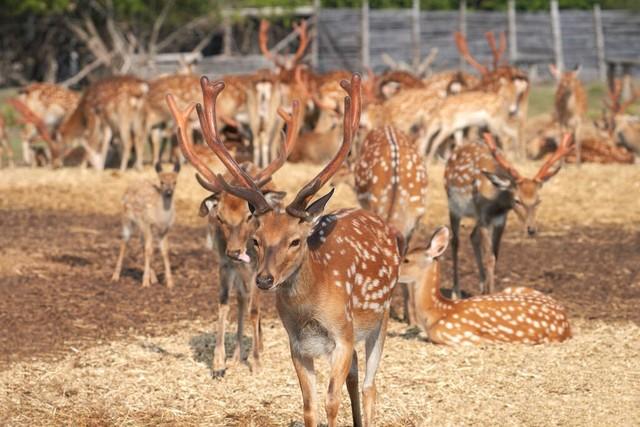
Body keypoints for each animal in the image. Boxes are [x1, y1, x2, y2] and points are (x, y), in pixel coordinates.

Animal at [112, 162, 180, 290]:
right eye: (161, 182)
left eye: (175, 182)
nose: (169, 192)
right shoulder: (147, 223)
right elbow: (150, 250)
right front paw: (145, 282)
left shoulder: (164, 230)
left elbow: (165, 251)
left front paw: (170, 283)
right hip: (127, 219)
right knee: (124, 242)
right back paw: (115, 277)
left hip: (142, 227)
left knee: (143, 244)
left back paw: (154, 279)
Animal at [164, 89, 296, 378]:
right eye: (219, 217)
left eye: (250, 216)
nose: (236, 251)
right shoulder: (224, 263)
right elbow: (224, 304)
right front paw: (219, 362)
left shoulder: (258, 266)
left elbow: (256, 309)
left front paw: (256, 360)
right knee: (241, 299)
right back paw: (237, 355)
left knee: (253, 303)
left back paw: (258, 348)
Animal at [180, 74, 400, 427]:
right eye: (257, 238)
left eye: (295, 240)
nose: (264, 279)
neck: (309, 310)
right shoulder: (297, 345)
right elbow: (309, 406)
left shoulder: (342, 336)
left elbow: (331, 403)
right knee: (356, 377)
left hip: (381, 316)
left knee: (370, 385)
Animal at [444, 132, 576, 300]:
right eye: (517, 200)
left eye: (538, 200)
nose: (531, 229)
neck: (495, 203)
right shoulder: (483, 216)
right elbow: (489, 258)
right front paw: (491, 294)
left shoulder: (500, 220)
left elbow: (495, 255)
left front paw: (489, 291)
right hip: (453, 205)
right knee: (455, 241)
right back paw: (456, 292)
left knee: (472, 236)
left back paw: (481, 286)